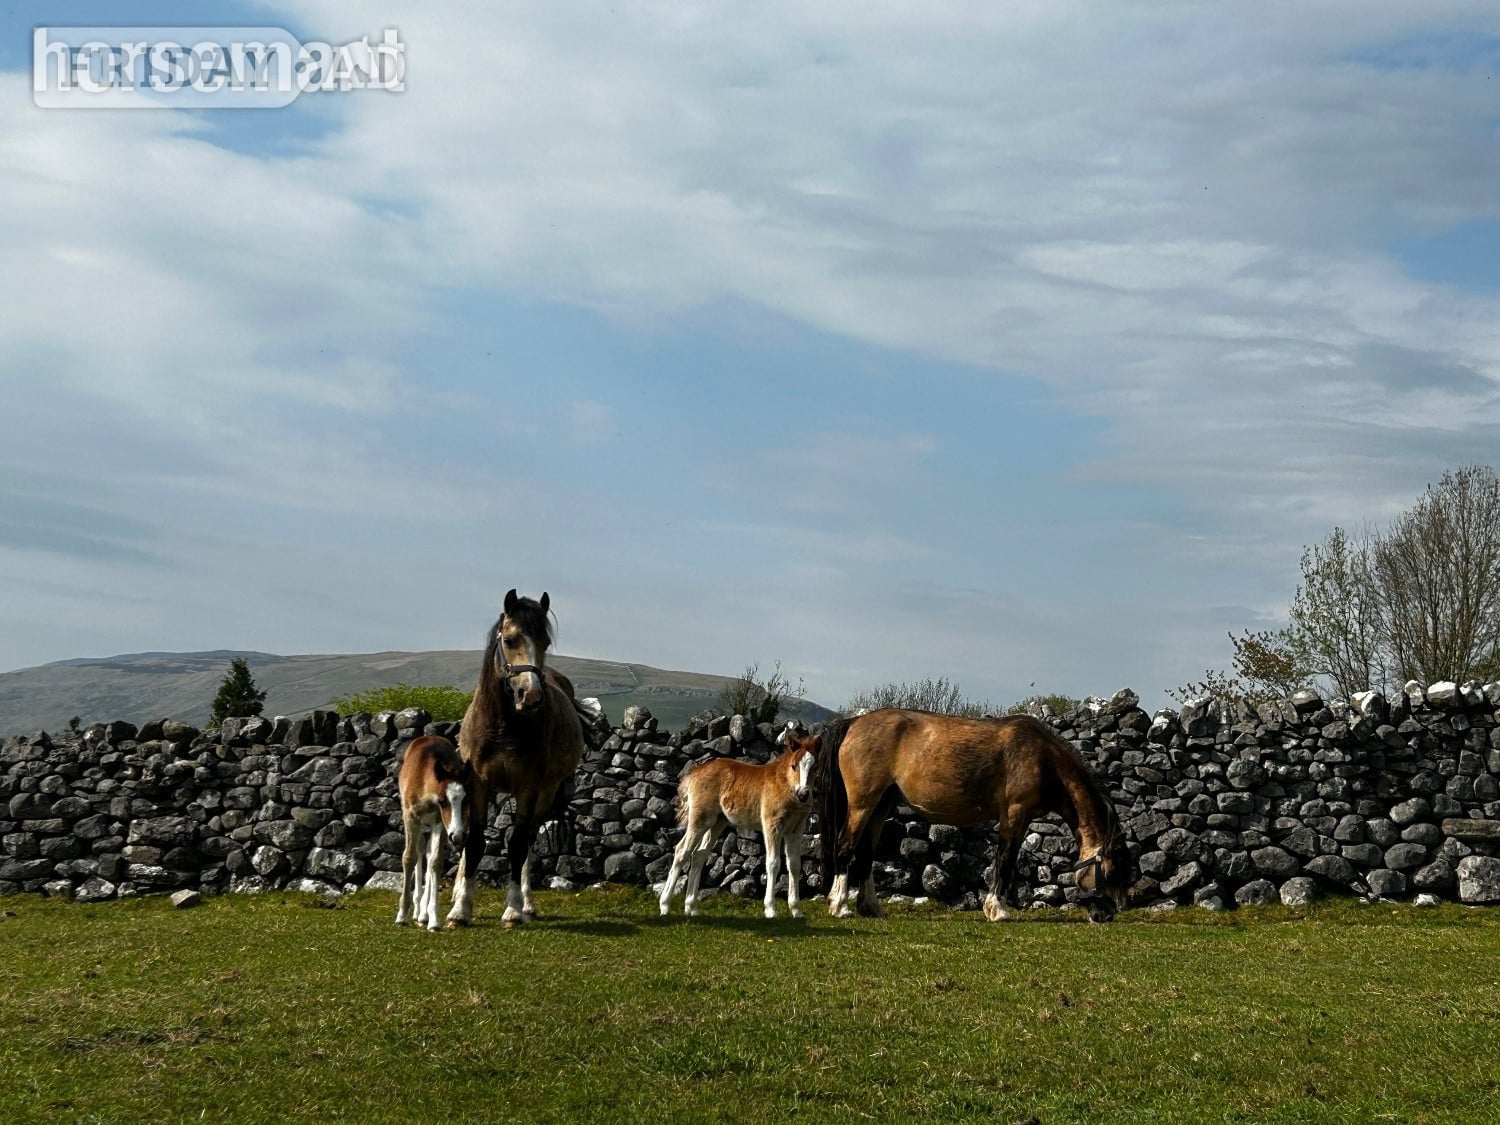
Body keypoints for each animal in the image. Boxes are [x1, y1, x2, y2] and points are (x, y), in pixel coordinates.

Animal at [395, 734, 472, 931]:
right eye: (443, 801)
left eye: (466, 800)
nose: (458, 835)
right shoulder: (410, 817)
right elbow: (409, 858)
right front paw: (401, 915)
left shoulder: (440, 824)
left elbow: (436, 862)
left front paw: (434, 919)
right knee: (420, 851)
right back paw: (416, 911)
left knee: (428, 856)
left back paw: (423, 914)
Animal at [445, 589, 587, 929]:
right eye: (509, 640)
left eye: (545, 643)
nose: (531, 696)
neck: (503, 726)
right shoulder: (478, 785)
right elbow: (474, 843)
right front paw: (460, 909)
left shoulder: (529, 788)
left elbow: (518, 845)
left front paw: (512, 910)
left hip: (547, 793)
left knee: (530, 841)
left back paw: (527, 905)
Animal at [658, 730, 820, 919]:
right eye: (794, 766)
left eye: (815, 767)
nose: (803, 794)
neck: (786, 784)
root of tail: (695, 772)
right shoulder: (772, 825)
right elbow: (773, 863)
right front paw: (770, 909)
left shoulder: (796, 830)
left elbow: (794, 865)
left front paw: (796, 910)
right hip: (700, 820)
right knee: (681, 851)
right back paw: (665, 905)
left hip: (717, 822)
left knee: (699, 855)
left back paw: (692, 907)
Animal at [815, 709, 1133, 922]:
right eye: (1112, 870)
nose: (1106, 915)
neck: (1043, 759)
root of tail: (853, 723)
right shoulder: (1015, 812)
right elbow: (1005, 859)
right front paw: (997, 910)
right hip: (862, 804)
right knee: (845, 848)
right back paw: (840, 906)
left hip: (880, 805)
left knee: (866, 854)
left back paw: (871, 907)